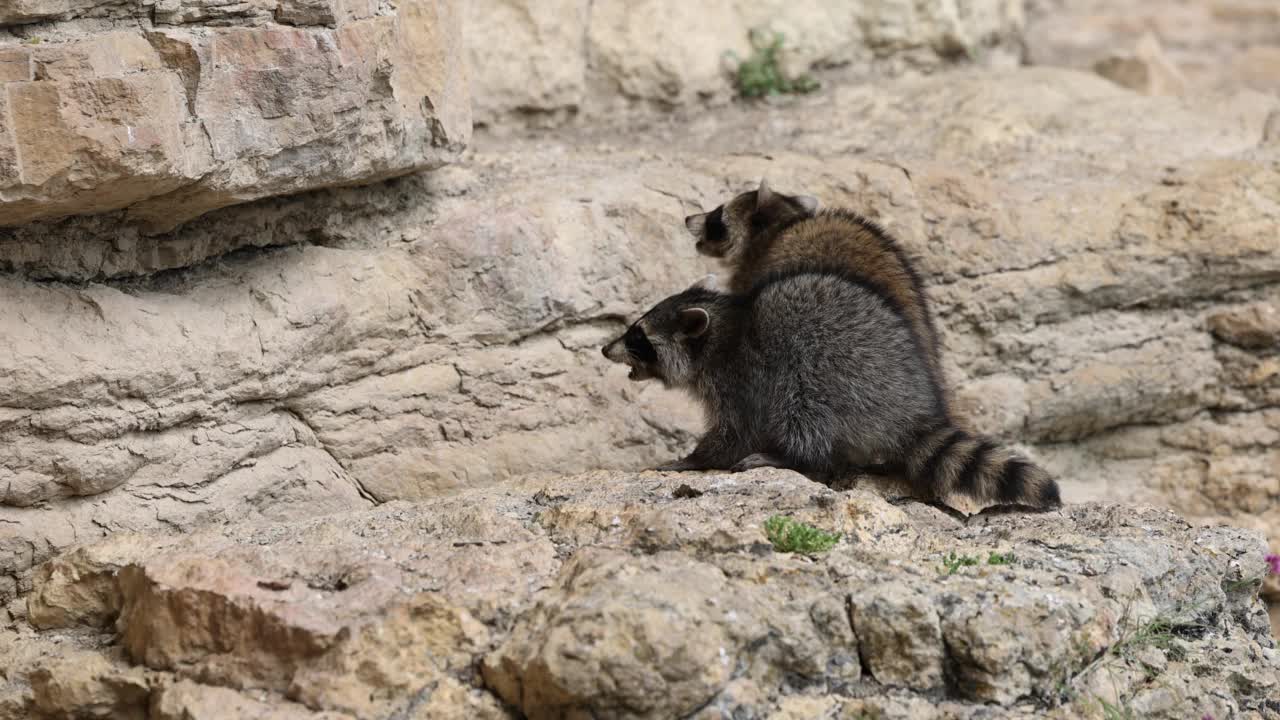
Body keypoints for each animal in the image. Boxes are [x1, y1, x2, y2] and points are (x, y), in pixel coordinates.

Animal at [599, 269, 1059, 509]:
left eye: (638, 336)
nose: (604, 349)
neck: (723, 328)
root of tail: (912, 408)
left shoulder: (741, 378)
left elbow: (734, 432)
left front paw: (693, 459)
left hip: (837, 378)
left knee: (804, 411)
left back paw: (793, 458)